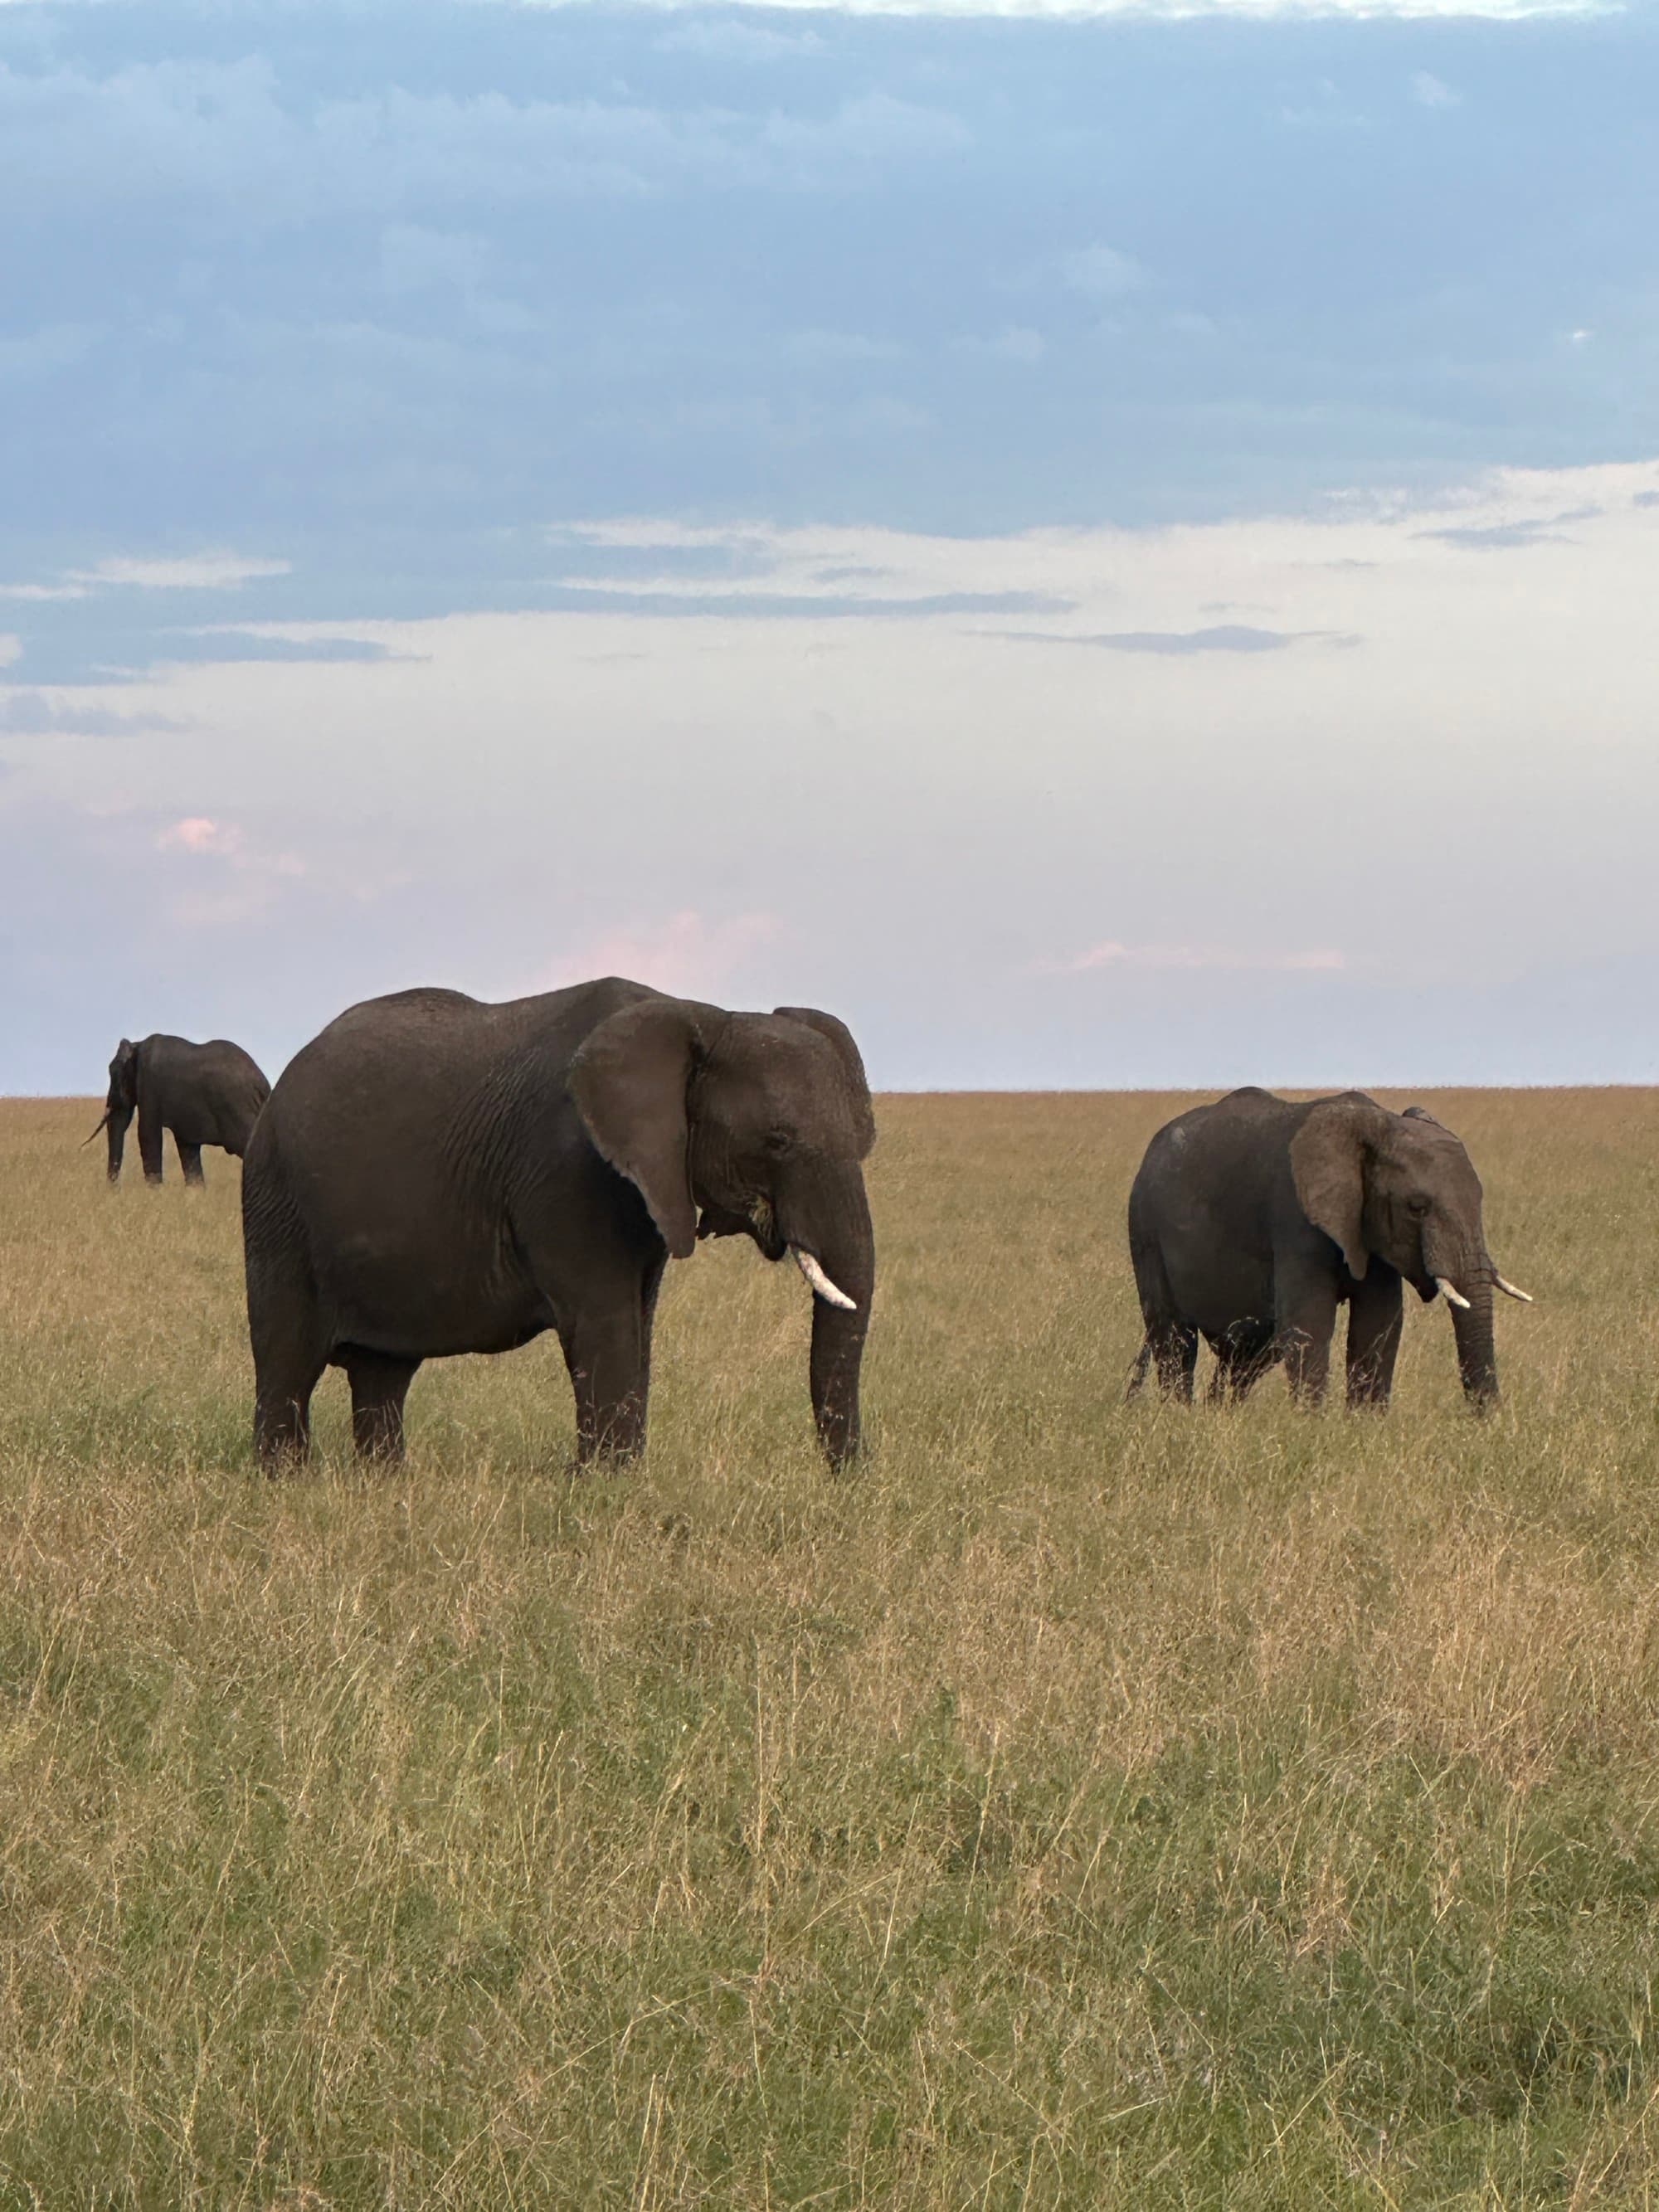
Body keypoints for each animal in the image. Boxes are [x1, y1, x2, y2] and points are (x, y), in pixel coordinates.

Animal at [88, 1034, 271, 1186]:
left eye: (115, 1077)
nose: (114, 1190)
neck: (137, 1046)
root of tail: (262, 1083)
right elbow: (188, 1149)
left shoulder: (149, 1084)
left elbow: (147, 1134)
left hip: (238, 1110)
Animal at [241, 976, 876, 1469]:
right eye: (777, 1140)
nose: (850, 1475)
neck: (701, 1014)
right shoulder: (566, 1169)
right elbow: (604, 1318)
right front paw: (607, 1485)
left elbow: (639, 1321)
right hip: (276, 1205)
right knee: (287, 1362)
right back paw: (286, 1480)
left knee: (383, 1374)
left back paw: (385, 1483)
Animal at [1126, 1087, 1530, 1410]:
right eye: (1416, 1208)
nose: (1487, 1419)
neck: (1375, 1125)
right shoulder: (1296, 1222)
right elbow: (1309, 1325)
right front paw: (1311, 1426)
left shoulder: (1369, 1228)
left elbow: (1378, 1326)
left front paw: (1364, 1426)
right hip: (1145, 1230)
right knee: (1174, 1340)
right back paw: (1180, 1416)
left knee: (1245, 1354)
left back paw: (1221, 1416)